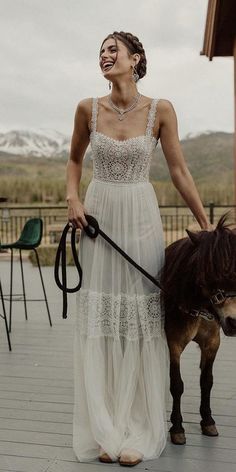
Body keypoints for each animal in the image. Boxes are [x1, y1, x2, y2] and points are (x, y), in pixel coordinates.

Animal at [163, 216, 236, 444]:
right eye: (209, 273)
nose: (233, 321)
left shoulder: (212, 343)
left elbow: (207, 381)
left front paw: (208, 420)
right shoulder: (173, 343)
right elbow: (177, 384)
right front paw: (177, 426)